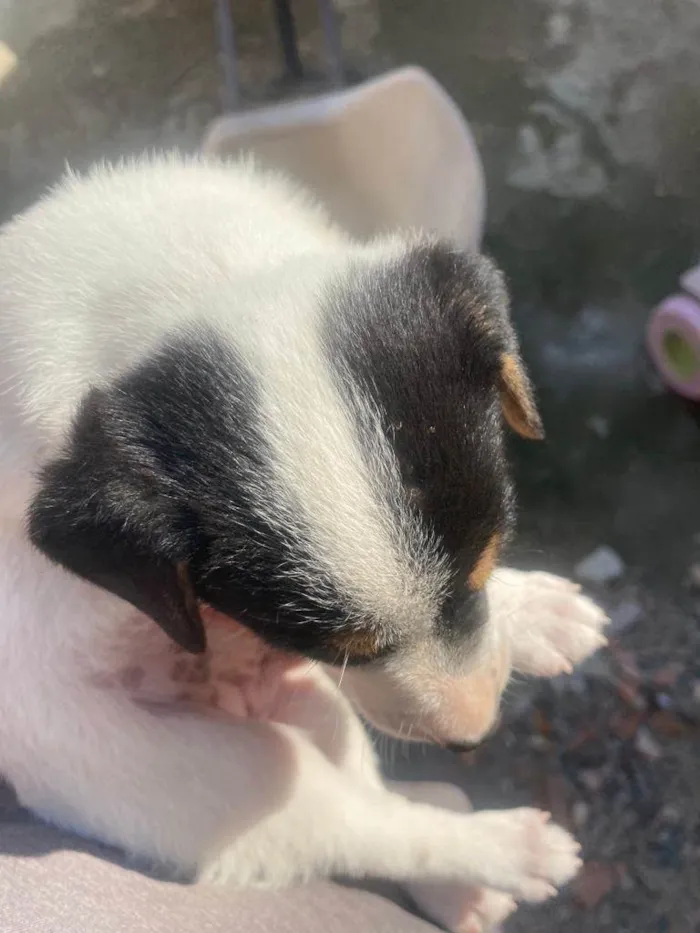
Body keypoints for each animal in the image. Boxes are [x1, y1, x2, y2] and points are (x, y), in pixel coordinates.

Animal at [0, 157, 608, 928]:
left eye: (486, 563)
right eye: (339, 645)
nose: (471, 736)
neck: (193, 277)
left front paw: (530, 611)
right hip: (190, 774)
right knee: (359, 823)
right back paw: (502, 853)